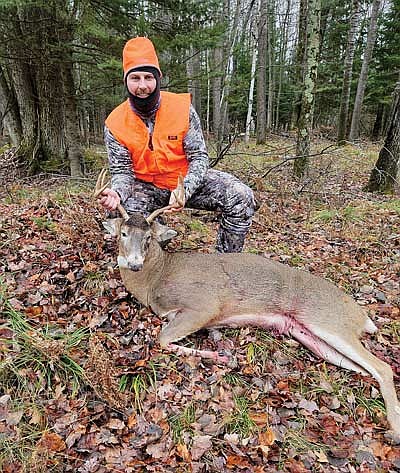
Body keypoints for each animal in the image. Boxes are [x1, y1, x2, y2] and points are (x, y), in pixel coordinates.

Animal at [94, 171, 400, 436]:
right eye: (123, 234)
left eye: (148, 237)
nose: (134, 263)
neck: (156, 278)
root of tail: (362, 315)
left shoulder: (204, 305)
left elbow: (163, 338)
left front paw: (220, 356)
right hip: (313, 338)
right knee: (368, 369)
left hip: (329, 321)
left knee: (383, 367)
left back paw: (394, 429)